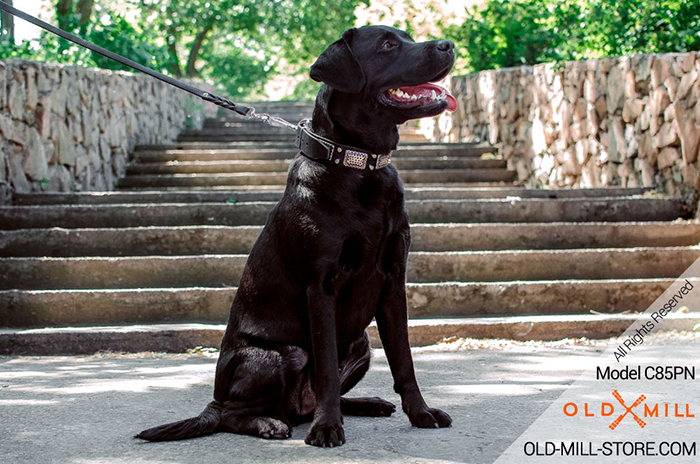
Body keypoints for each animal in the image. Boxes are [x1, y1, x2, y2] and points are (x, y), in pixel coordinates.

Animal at [137, 24, 456, 446]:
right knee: (235, 413)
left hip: (361, 342)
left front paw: (421, 413)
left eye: (405, 35)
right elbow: (326, 368)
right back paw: (269, 423)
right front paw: (327, 427)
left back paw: (364, 404)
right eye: (388, 44)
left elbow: (404, 360)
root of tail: (213, 402)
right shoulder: (320, 285)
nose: (449, 45)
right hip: (276, 354)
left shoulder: (393, 280)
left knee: (305, 400)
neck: (358, 164)